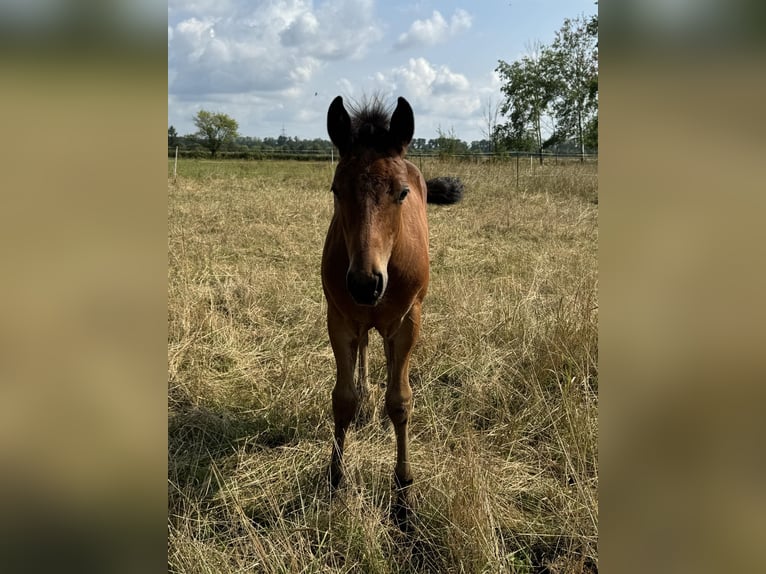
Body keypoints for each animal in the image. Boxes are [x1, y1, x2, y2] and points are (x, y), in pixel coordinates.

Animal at [322, 97, 462, 524]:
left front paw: (404, 494)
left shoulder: (407, 323)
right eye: (336, 189)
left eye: (401, 193)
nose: (365, 284)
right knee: (368, 350)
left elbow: (400, 402)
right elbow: (343, 398)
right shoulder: (340, 319)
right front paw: (335, 478)